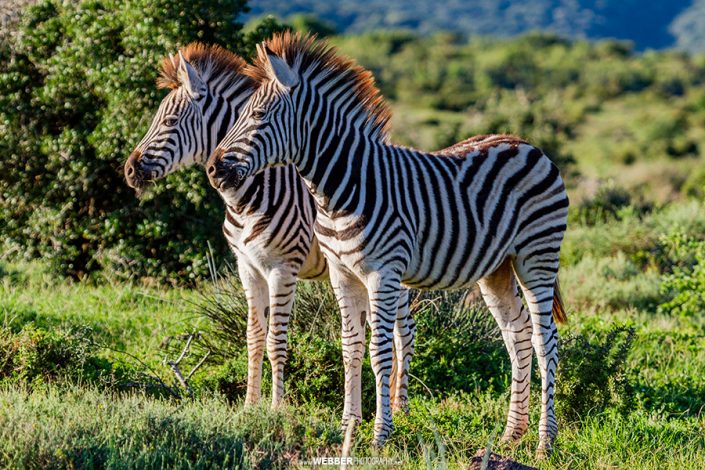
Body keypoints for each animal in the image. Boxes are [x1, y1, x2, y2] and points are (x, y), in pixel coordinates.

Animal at [123, 44, 416, 412]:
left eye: (170, 121)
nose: (129, 170)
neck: (249, 195)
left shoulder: (282, 268)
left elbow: (277, 339)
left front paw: (276, 407)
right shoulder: (247, 267)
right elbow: (253, 336)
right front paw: (250, 404)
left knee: (404, 333)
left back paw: (400, 407)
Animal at [206, 32, 568, 456]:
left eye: (260, 116)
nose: (213, 169)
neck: (338, 190)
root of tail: (527, 144)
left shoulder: (383, 273)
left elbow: (379, 351)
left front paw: (380, 434)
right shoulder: (341, 273)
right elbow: (350, 347)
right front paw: (348, 424)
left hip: (537, 256)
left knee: (546, 340)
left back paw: (545, 440)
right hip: (497, 268)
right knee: (518, 335)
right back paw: (512, 433)